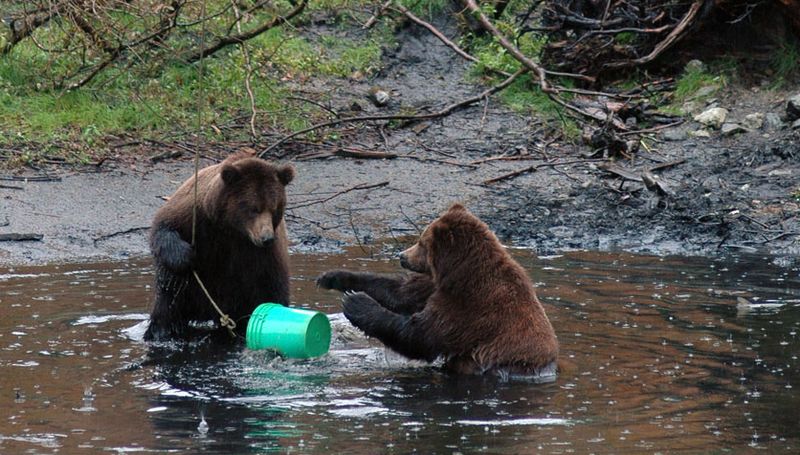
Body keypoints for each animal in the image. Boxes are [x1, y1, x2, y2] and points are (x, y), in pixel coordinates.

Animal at [144, 153, 294, 342]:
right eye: (254, 209)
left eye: (274, 208)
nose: (266, 238)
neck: (232, 229)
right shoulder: (195, 216)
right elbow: (164, 228)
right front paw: (186, 257)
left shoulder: (262, 255)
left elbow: (272, 286)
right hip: (185, 295)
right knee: (168, 306)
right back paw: (160, 332)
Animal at [318, 205, 556, 376]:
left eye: (422, 243)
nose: (402, 256)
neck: (460, 274)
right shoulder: (436, 286)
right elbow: (400, 292)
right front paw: (333, 277)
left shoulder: (470, 307)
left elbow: (420, 335)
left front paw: (356, 303)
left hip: (499, 365)